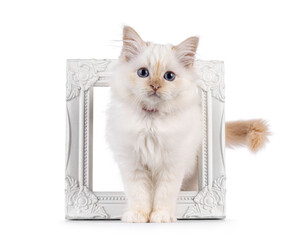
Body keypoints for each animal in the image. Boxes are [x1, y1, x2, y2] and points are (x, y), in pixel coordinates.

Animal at [106, 25, 270, 222]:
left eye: (169, 76)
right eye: (143, 73)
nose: (155, 86)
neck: (151, 122)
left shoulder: (173, 164)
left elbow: (165, 194)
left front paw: (161, 216)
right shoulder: (133, 164)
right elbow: (138, 194)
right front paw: (137, 215)